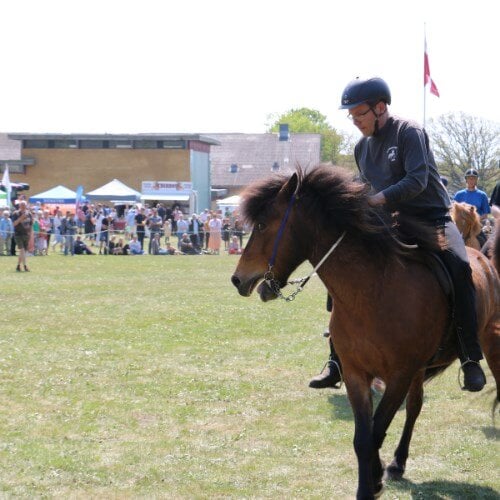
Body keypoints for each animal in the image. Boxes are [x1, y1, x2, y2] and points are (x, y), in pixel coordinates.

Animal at [231, 166, 500, 498]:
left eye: (261, 224)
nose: (238, 279)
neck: (374, 290)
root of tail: (484, 260)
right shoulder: (357, 374)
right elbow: (364, 437)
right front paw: (370, 481)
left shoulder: (398, 376)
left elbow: (376, 431)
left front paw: (372, 480)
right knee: (414, 408)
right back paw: (397, 464)